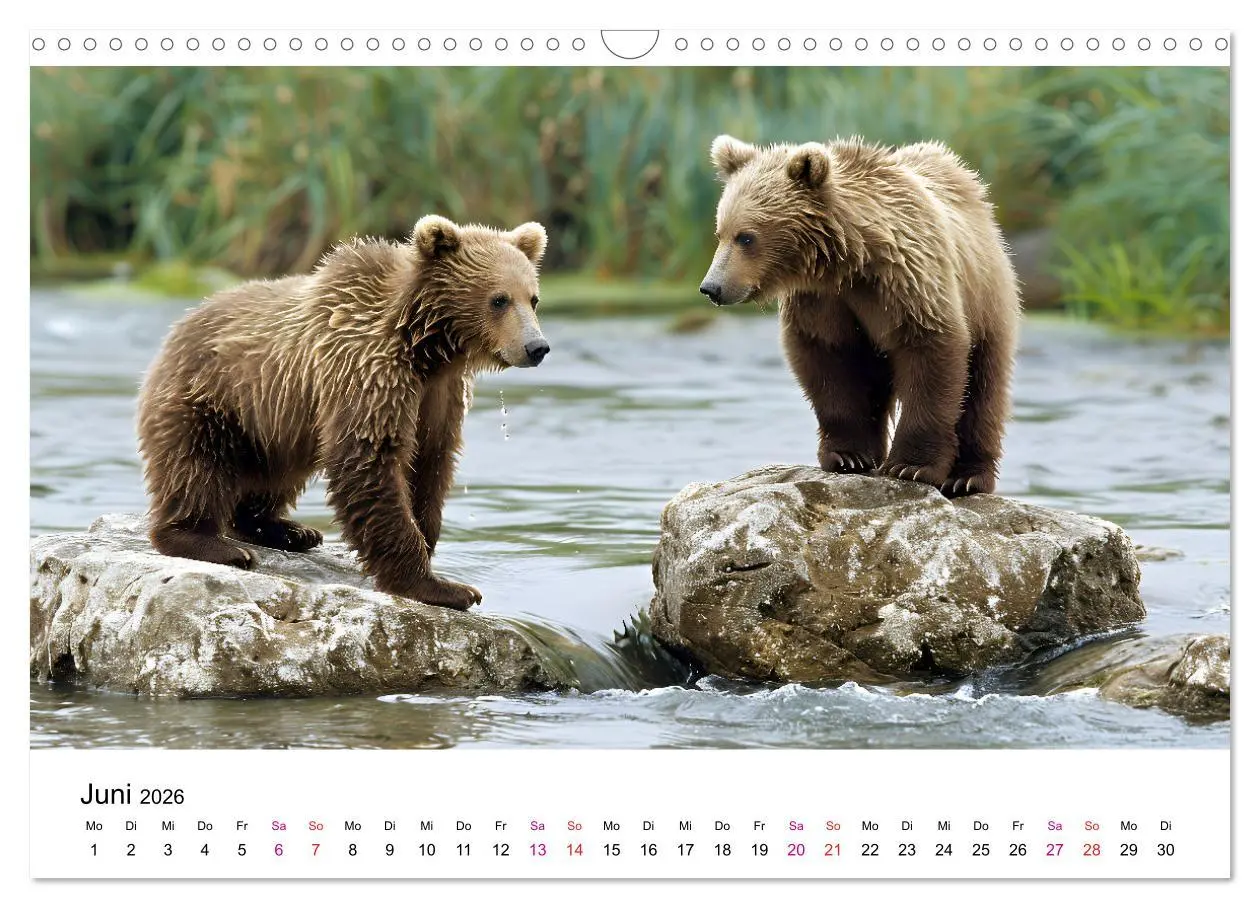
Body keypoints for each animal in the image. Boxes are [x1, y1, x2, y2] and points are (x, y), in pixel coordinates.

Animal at [137, 216, 550, 610]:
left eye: (533, 298)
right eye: (499, 299)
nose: (537, 347)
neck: (424, 345)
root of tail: (179, 324)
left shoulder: (439, 396)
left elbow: (431, 463)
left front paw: (430, 550)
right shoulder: (367, 370)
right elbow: (369, 460)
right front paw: (443, 587)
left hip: (274, 423)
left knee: (276, 473)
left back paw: (288, 530)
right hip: (209, 398)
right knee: (194, 467)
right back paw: (214, 543)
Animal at [700, 135, 1021, 497]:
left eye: (746, 237)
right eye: (720, 232)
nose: (711, 287)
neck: (850, 260)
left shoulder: (909, 280)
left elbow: (932, 349)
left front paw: (911, 466)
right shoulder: (823, 301)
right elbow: (828, 363)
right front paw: (848, 456)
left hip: (987, 295)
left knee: (984, 385)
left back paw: (968, 477)